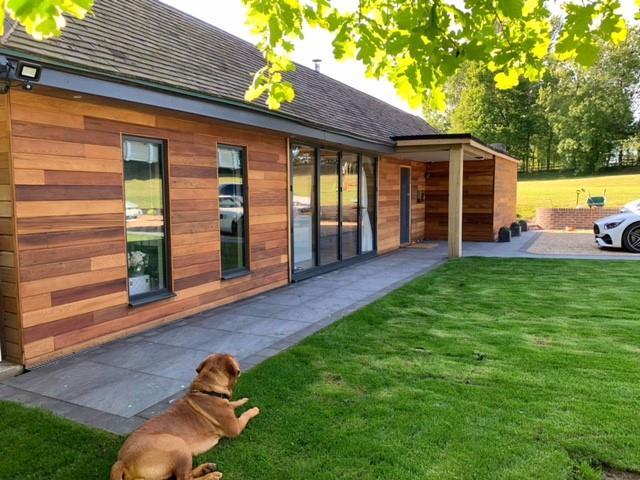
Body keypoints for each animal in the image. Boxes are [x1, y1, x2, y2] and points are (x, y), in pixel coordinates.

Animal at [110, 352, 260, 480]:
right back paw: (211, 475)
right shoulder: (235, 427)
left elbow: (233, 404)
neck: (208, 390)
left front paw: (243, 400)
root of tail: (121, 461)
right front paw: (254, 409)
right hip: (178, 445)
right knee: (184, 477)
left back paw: (206, 468)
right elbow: (245, 415)